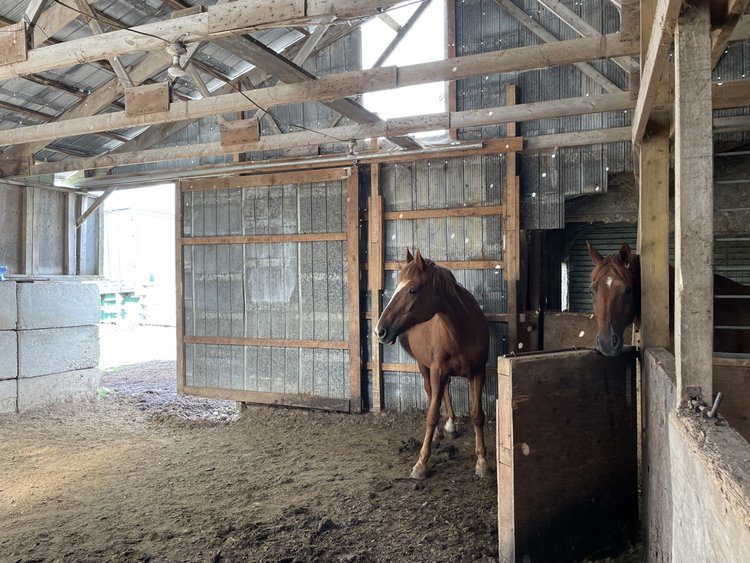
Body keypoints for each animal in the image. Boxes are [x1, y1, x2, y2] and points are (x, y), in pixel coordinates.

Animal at [375, 249, 490, 479]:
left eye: (412, 289)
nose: (380, 330)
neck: (462, 330)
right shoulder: (437, 370)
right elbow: (431, 415)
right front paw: (421, 463)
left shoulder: (478, 372)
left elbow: (477, 415)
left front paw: (482, 461)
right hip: (425, 367)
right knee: (431, 393)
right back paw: (439, 432)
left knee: (444, 391)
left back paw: (451, 424)